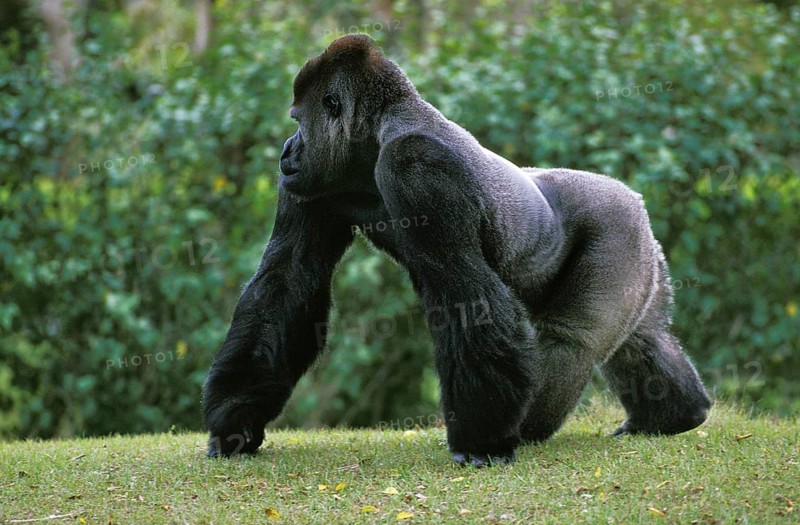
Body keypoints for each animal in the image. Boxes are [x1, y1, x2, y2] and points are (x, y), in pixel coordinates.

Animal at [202, 34, 711, 466]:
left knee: (570, 339)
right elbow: (287, 280)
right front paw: (236, 418)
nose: (286, 151)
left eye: (297, 120)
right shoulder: (314, 184)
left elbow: (466, 296)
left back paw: (522, 430)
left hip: (617, 227)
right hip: (643, 252)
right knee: (640, 336)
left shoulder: (417, 166)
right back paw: (673, 415)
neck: (378, 132)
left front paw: (481, 441)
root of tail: (633, 197)